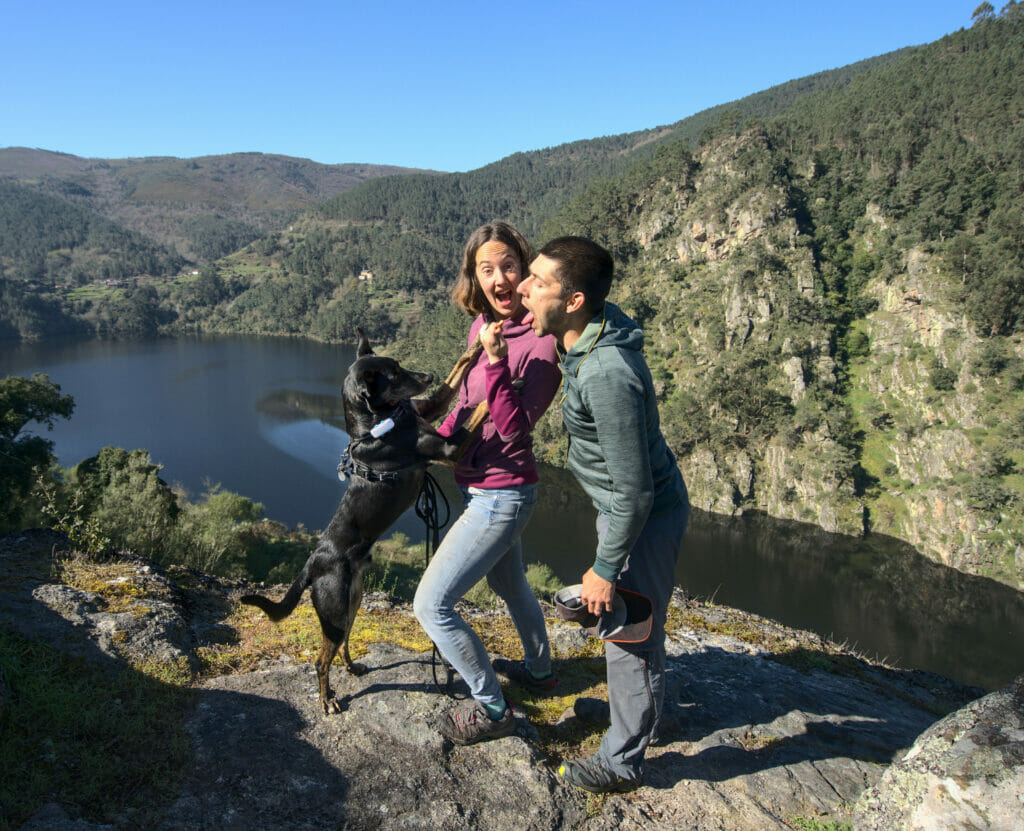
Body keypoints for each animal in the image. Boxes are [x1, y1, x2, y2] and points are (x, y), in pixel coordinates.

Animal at [241, 327, 485, 712]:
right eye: (394, 375)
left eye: (400, 365)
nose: (427, 376)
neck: (378, 425)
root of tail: (312, 564)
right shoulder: (447, 449)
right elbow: (477, 413)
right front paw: (508, 384)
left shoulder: (428, 408)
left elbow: (457, 371)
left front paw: (482, 342)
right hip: (334, 611)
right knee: (321, 659)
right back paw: (327, 700)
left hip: (351, 603)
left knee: (342, 644)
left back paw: (352, 667)